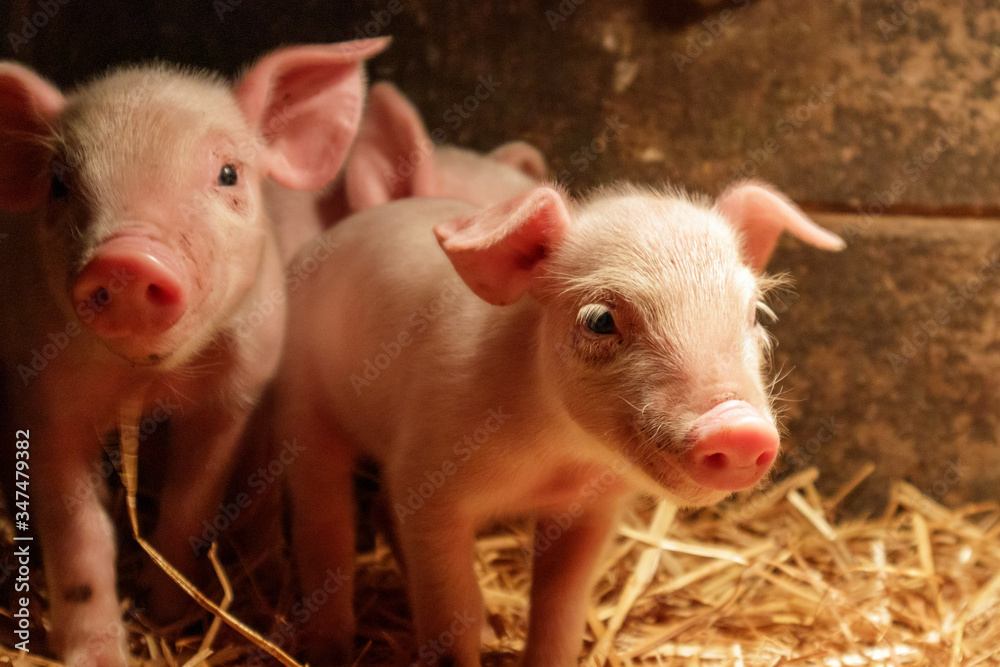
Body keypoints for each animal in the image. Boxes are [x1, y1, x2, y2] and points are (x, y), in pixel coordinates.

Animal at [0, 37, 387, 667]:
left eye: (229, 173)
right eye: (59, 182)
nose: (127, 259)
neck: (145, 384)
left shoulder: (235, 394)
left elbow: (190, 508)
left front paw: (166, 616)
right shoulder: (42, 396)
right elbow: (79, 533)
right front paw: (102, 656)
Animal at [274, 180, 845, 664]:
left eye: (758, 314)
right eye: (599, 320)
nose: (739, 426)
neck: (557, 462)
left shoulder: (592, 509)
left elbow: (559, 608)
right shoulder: (429, 477)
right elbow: (454, 613)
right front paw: (473, 632)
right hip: (302, 404)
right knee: (323, 525)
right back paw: (328, 650)